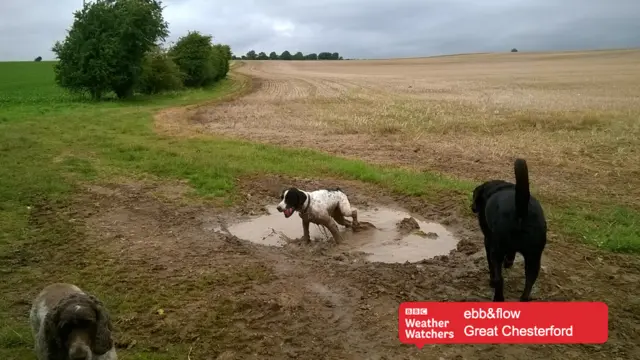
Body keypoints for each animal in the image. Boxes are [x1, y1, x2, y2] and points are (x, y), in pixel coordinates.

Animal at [472, 158, 548, 300]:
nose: (472, 207)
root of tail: (521, 209)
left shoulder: (488, 240)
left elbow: (491, 265)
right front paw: (509, 262)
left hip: (497, 251)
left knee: (499, 279)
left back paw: (498, 297)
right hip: (534, 257)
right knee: (529, 282)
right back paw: (523, 299)